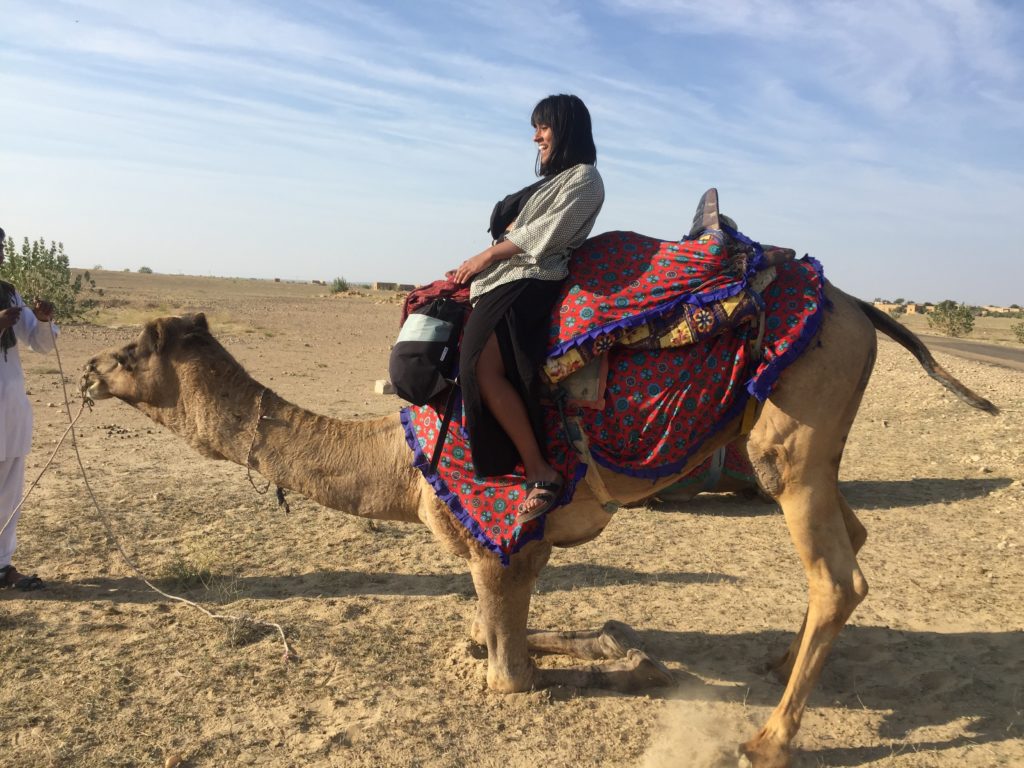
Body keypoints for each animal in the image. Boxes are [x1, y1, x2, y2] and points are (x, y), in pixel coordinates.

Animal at [81, 290, 999, 768]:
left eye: (129, 352)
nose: (88, 369)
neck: (400, 455)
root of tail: (859, 307)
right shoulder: (524, 549)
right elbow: (492, 632)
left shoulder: (498, 544)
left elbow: (511, 675)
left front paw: (620, 665)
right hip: (816, 442)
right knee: (854, 537)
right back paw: (777, 662)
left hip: (791, 437)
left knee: (838, 570)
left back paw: (769, 737)